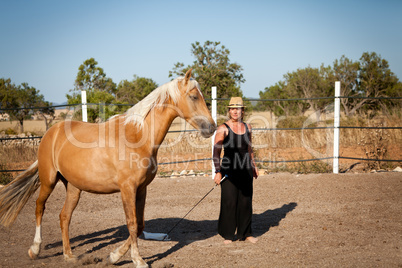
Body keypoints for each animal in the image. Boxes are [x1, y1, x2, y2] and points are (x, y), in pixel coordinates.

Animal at [0, 68, 217, 266]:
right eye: (193, 96)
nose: (212, 127)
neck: (138, 136)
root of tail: (51, 132)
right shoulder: (127, 189)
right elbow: (132, 223)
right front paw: (138, 260)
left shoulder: (141, 189)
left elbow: (140, 225)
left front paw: (113, 256)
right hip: (48, 180)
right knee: (39, 207)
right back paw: (35, 250)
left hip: (73, 187)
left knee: (64, 216)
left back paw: (69, 256)